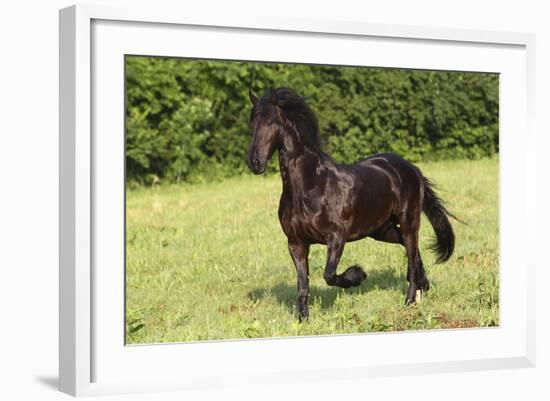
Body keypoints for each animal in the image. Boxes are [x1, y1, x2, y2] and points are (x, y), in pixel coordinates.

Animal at [248, 86, 454, 318]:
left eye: (270, 122)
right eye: (252, 123)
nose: (254, 162)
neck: (310, 186)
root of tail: (412, 169)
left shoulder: (337, 237)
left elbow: (329, 275)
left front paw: (358, 276)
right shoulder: (296, 243)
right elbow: (303, 286)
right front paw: (303, 319)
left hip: (409, 222)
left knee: (411, 256)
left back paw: (409, 299)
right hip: (382, 230)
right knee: (412, 251)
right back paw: (423, 286)